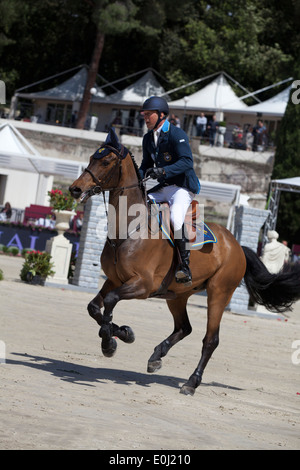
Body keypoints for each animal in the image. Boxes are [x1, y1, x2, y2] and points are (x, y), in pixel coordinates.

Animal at [69, 129, 300, 396]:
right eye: (91, 157)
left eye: (106, 161)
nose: (74, 189)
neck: (128, 229)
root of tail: (236, 245)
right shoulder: (114, 280)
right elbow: (95, 308)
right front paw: (123, 334)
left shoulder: (142, 285)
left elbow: (109, 302)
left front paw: (111, 341)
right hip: (177, 295)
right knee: (184, 327)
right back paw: (156, 357)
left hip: (218, 293)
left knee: (210, 339)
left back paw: (191, 382)